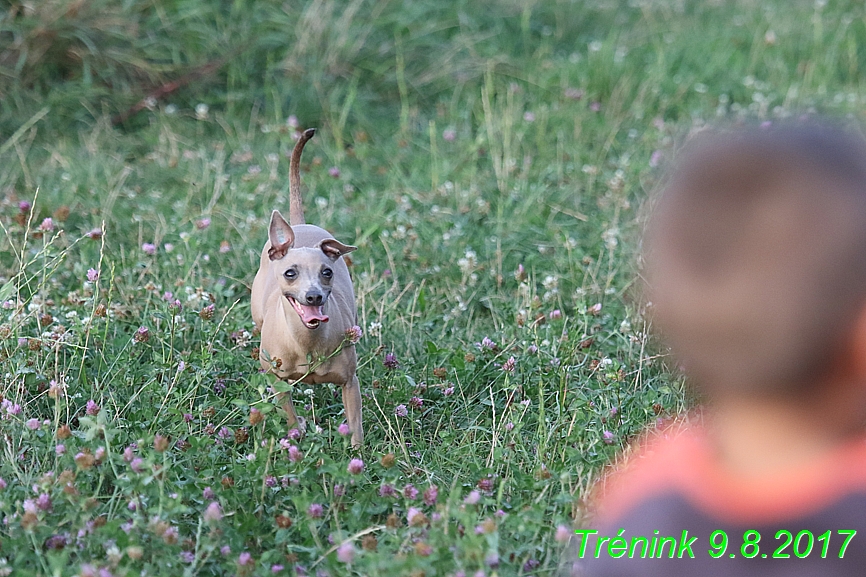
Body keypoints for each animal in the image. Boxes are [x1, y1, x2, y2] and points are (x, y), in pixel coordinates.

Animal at [250, 129, 362, 446]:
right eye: (290, 273)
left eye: (327, 272)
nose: (313, 295)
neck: (307, 343)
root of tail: (297, 226)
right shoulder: (277, 380)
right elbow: (287, 412)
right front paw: (296, 431)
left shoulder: (350, 382)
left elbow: (355, 426)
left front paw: (358, 454)